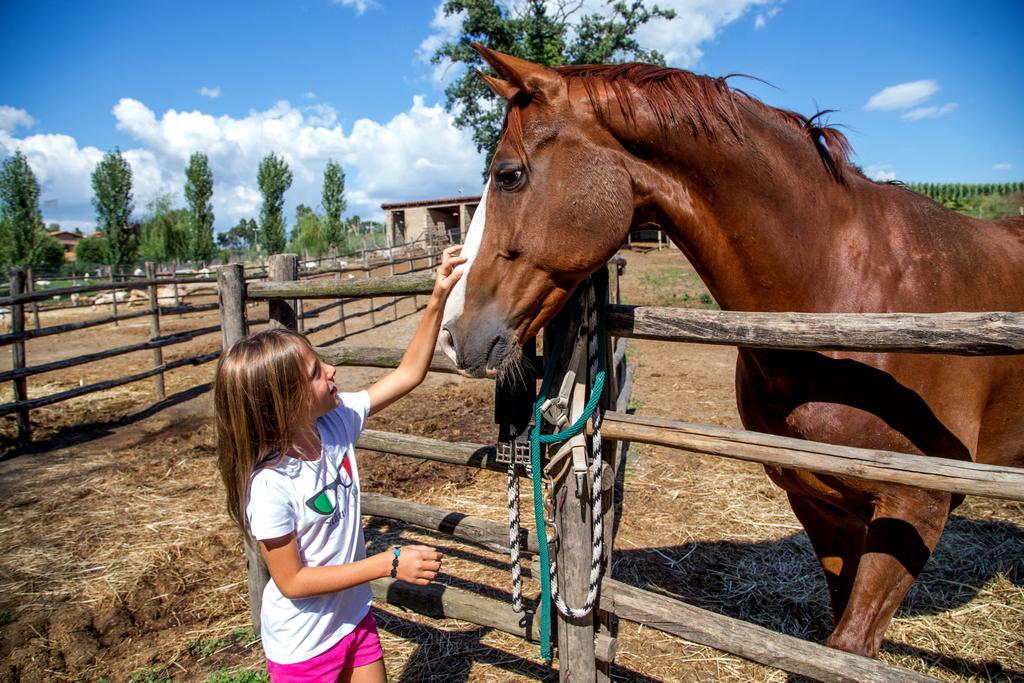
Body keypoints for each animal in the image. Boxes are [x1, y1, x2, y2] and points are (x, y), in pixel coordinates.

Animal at [440, 41, 1024, 655]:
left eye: (508, 175)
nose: (453, 334)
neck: (845, 292)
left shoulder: (916, 510)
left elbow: (848, 649)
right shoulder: (820, 502)